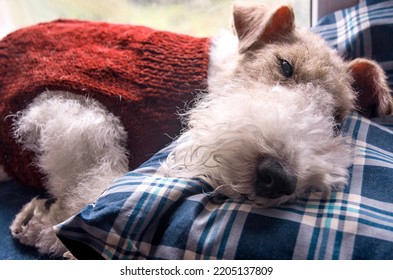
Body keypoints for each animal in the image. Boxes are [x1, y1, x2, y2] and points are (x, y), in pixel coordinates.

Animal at [0, 3, 392, 258]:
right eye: (285, 66)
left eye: (337, 118)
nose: (278, 177)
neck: (216, 75)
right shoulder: (71, 105)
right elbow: (95, 181)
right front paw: (46, 226)